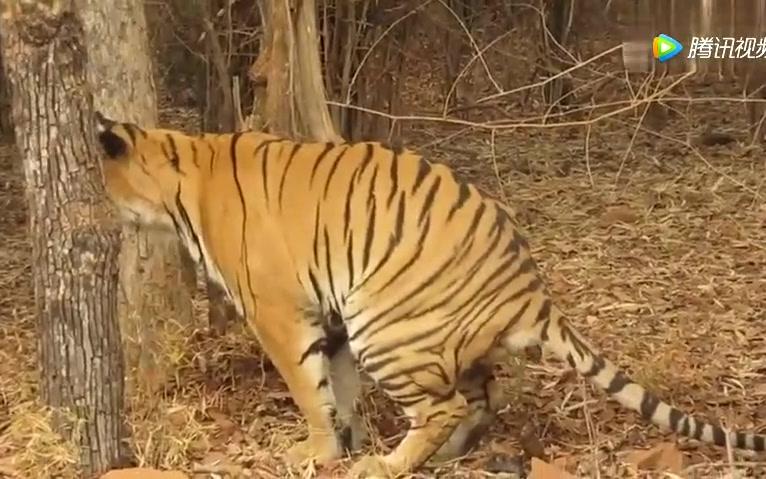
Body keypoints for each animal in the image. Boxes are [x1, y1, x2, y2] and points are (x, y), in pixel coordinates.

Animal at [93, 112, 766, 478]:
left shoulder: (280, 312)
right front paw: (345, 439)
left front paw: (319, 451)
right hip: (429, 333)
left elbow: (310, 390)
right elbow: (338, 387)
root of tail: (529, 286)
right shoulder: (330, 314)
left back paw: (392, 464)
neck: (183, 175)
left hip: (388, 324)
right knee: (478, 397)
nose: (105, 219)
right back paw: (440, 457)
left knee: (444, 405)